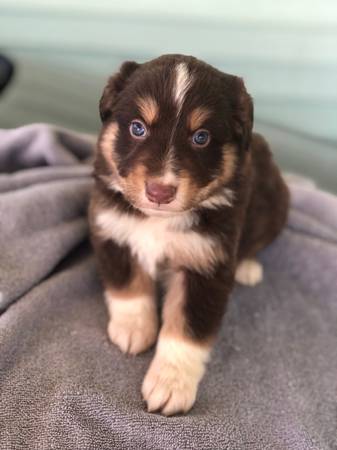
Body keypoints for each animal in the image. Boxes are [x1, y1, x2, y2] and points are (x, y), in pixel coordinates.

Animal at [88, 54, 288, 416]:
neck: (159, 220)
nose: (159, 191)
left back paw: (247, 267)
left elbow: (186, 329)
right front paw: (133, 328)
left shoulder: (206, 264)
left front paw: (170, 385)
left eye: (201, 137)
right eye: (137, 128)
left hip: (276, 207)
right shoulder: (112, 229)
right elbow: (129, 288)